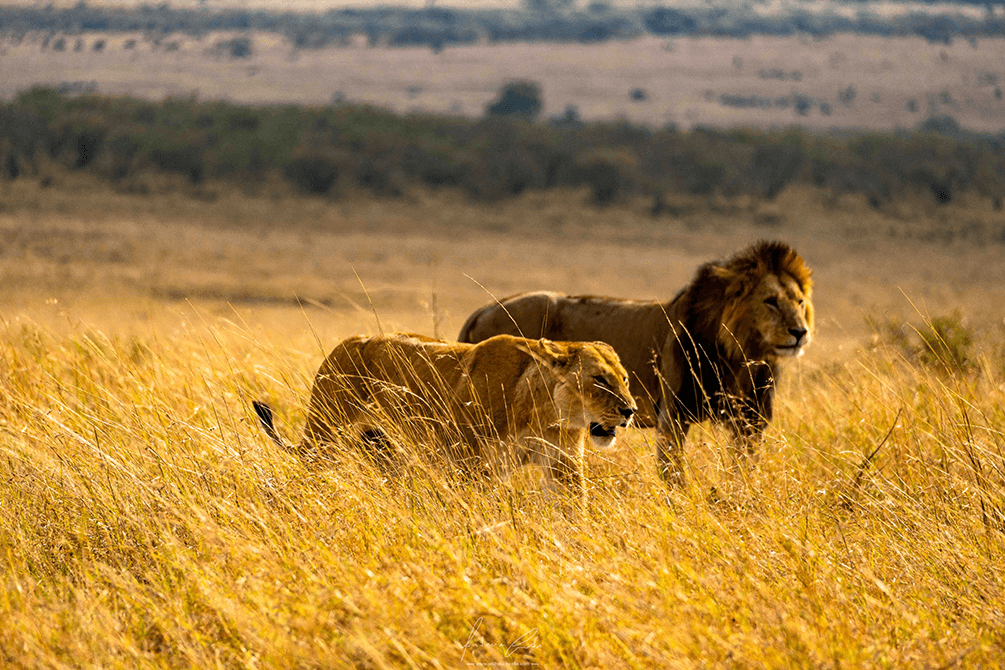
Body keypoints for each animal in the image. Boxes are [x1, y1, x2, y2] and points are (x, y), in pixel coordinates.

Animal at [249, 333, 635, 496]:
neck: (542, 411)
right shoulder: (470, 464)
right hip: (325, 434)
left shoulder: (563, 464)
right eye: (599, 379)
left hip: (387, 450)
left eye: (626, 379)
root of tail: (345, 343)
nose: (629, 410)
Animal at [460, 241, 812, 488]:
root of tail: (482, 310)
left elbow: (743, 471)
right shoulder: (673, 415)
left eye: (799, 302)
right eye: (770, 301)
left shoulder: (750, 421)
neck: (742, 356)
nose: (800, 332)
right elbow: (674, 475)